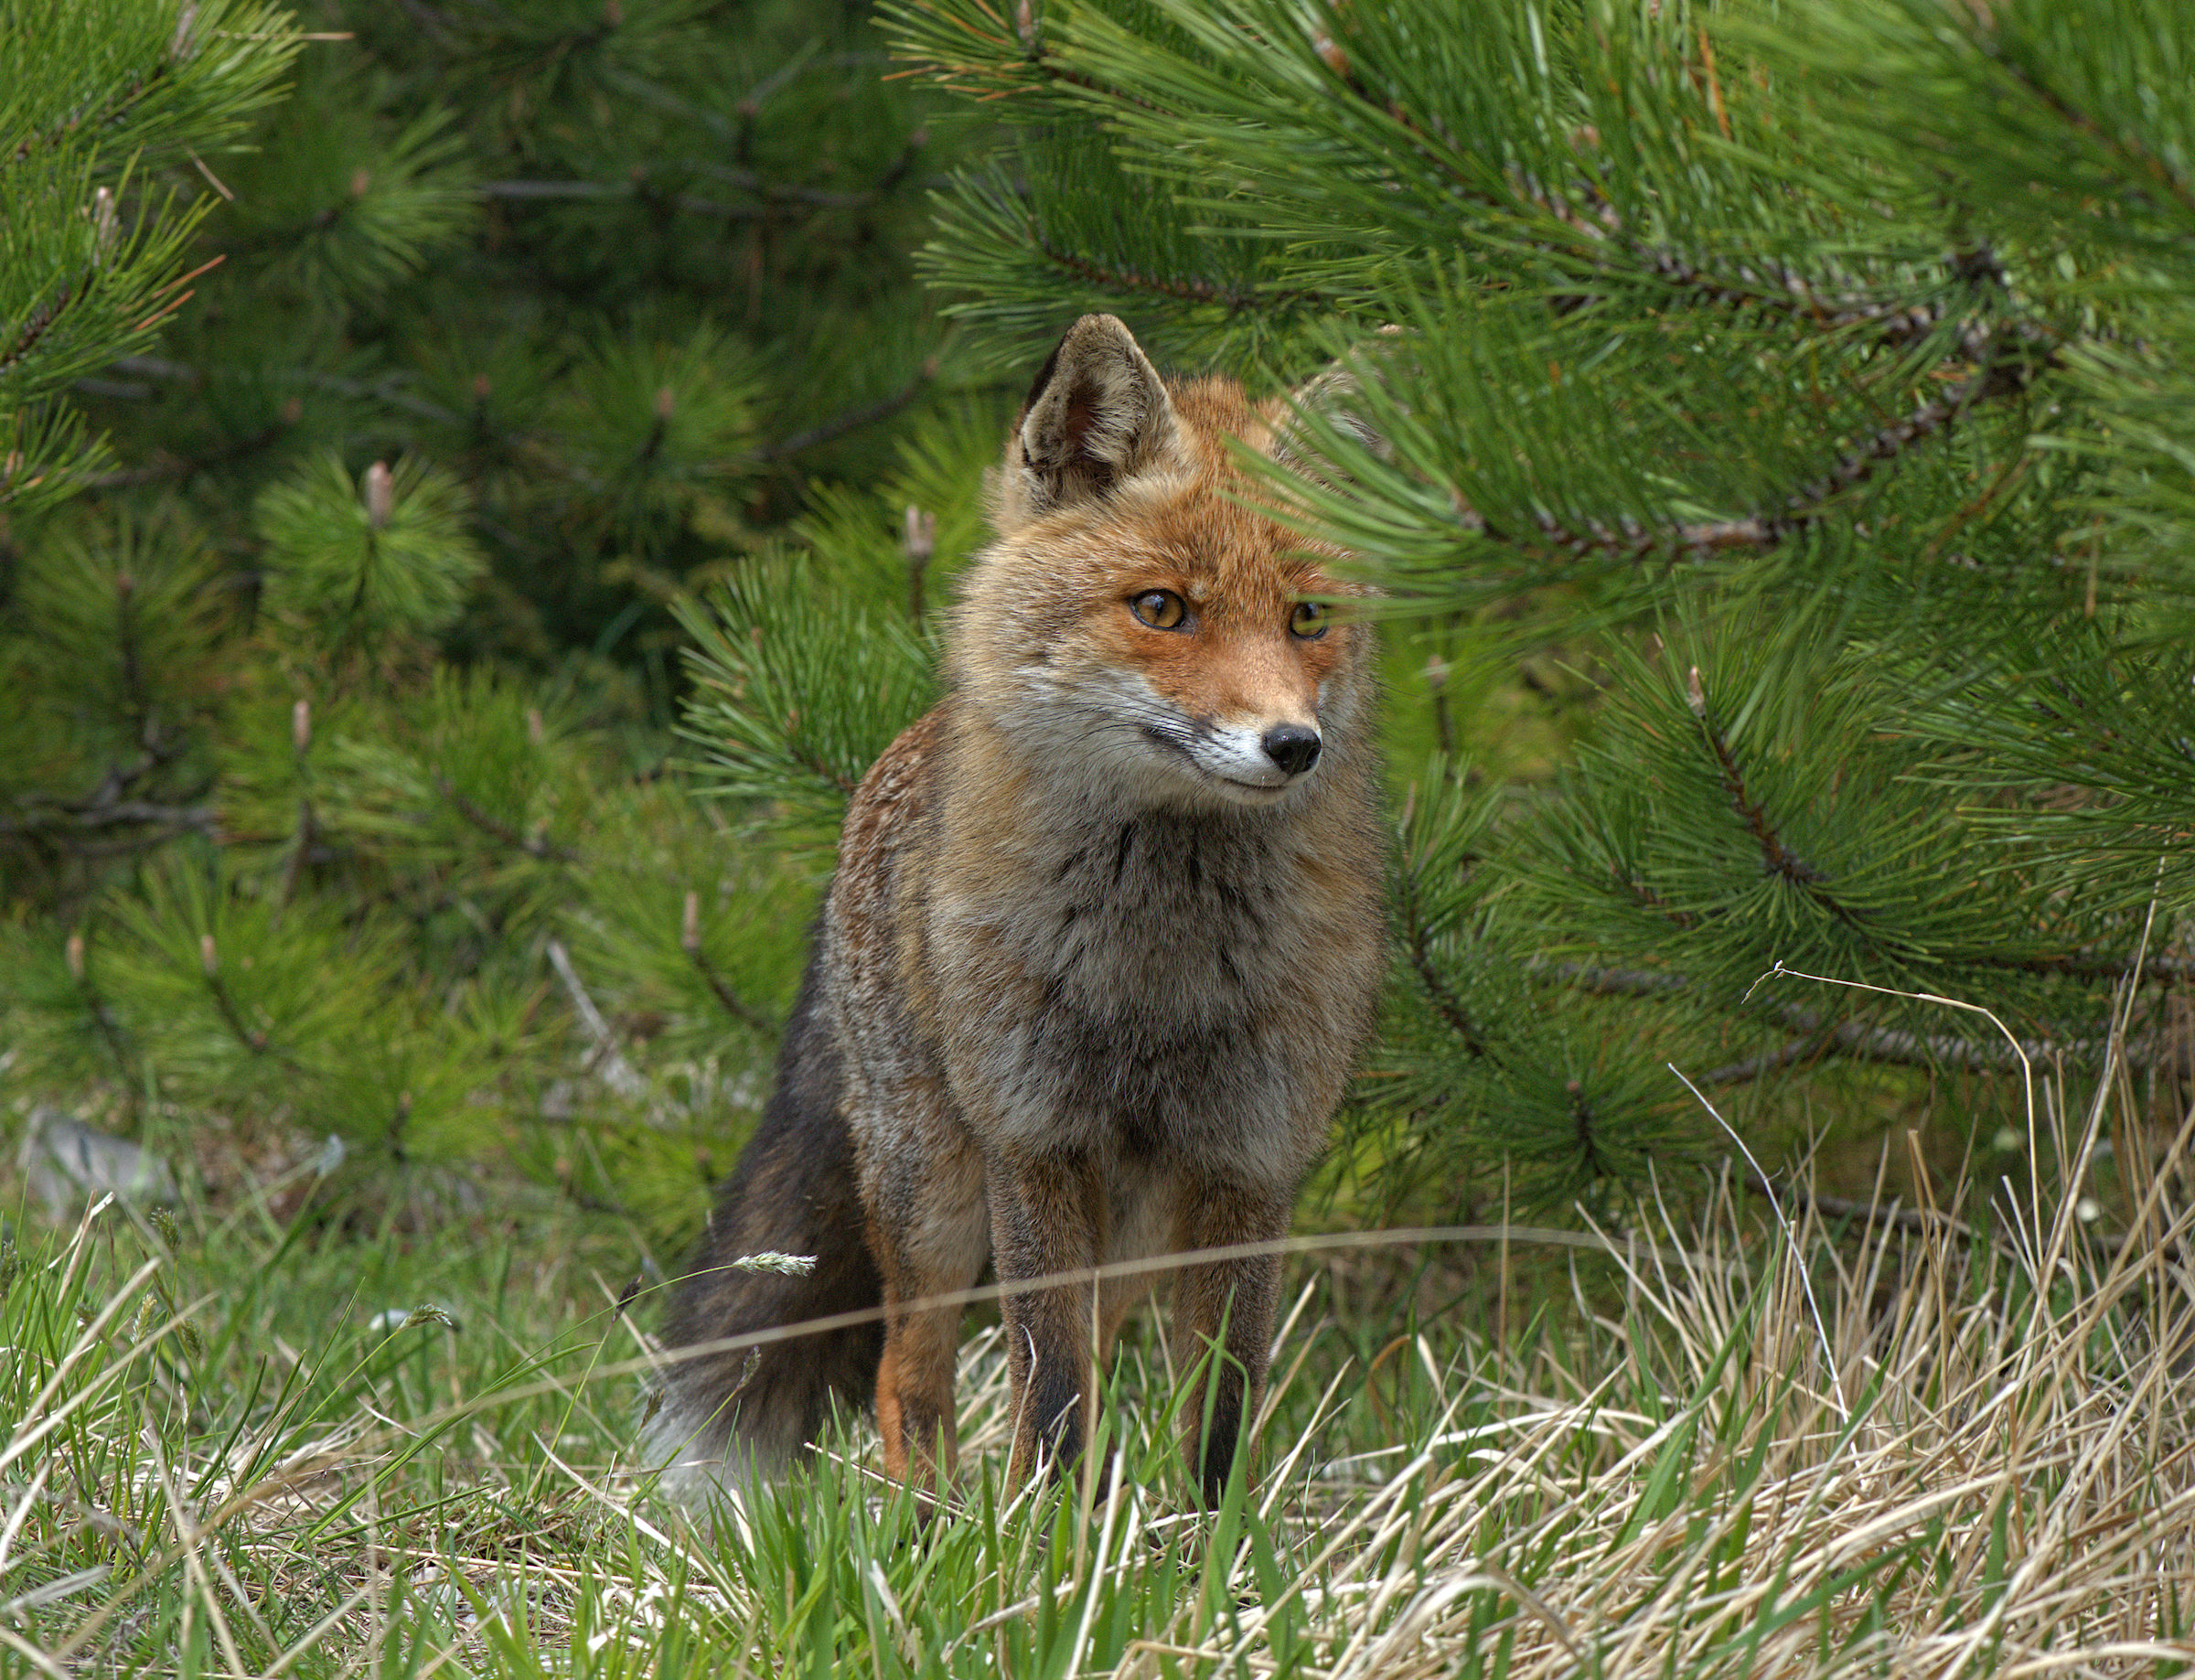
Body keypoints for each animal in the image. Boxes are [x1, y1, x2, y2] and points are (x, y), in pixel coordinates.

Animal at [650, 314, 1388, 1507]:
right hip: (935, 1190)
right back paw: (928, 1520)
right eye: (1163, 608)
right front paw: (1048, 1539)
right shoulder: (1034, 1139)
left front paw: (1210, 1544)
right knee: (910, 1373)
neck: (1156, 971)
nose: (1293, 744)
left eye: (1307, 617)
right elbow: (1052, 1403)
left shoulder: (1249, 1162)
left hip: (1131, 1229)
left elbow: (1217, 1421)